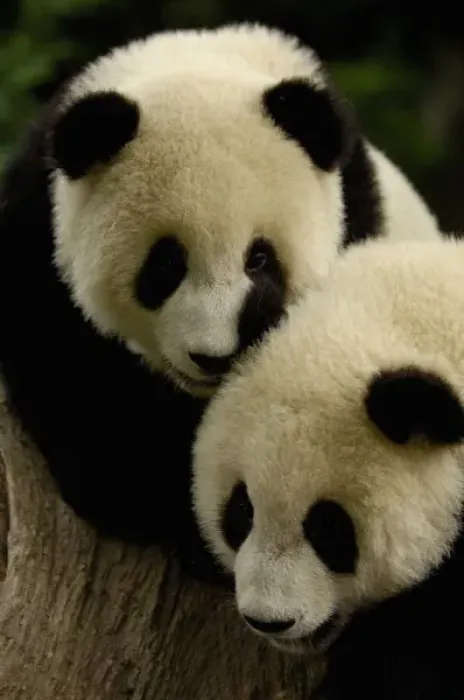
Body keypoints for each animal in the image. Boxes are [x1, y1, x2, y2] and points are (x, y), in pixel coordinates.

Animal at [0, 23, 441, 583]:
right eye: (165, 265)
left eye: (260, 259)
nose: (213, 357)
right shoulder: (37, 236)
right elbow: (69, 377)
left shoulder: (355, 218)